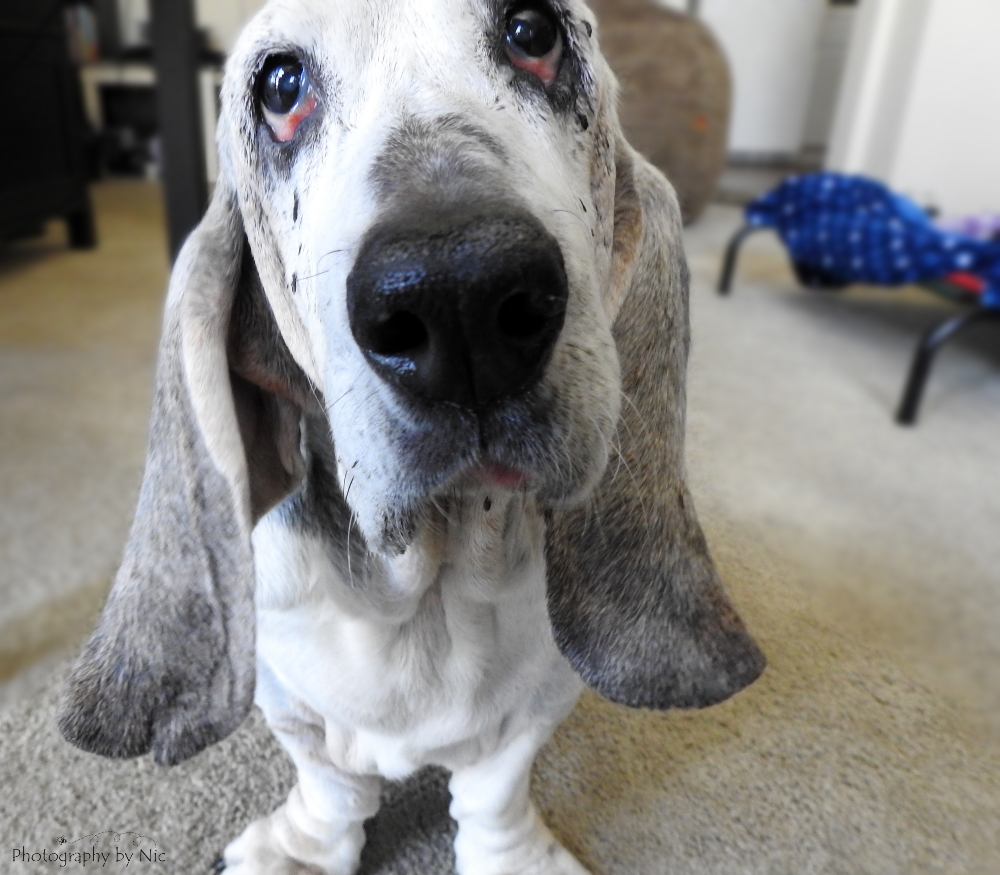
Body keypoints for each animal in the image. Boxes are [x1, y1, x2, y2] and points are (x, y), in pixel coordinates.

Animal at [58, 1, 765, 872]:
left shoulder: (541, 699)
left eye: (534, 33)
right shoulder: (285, 695)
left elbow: (495, 786)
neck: (428, 585)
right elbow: (331, 781)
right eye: (280, 85)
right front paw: (303, 848)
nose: (458, 294)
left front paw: (510, 855)